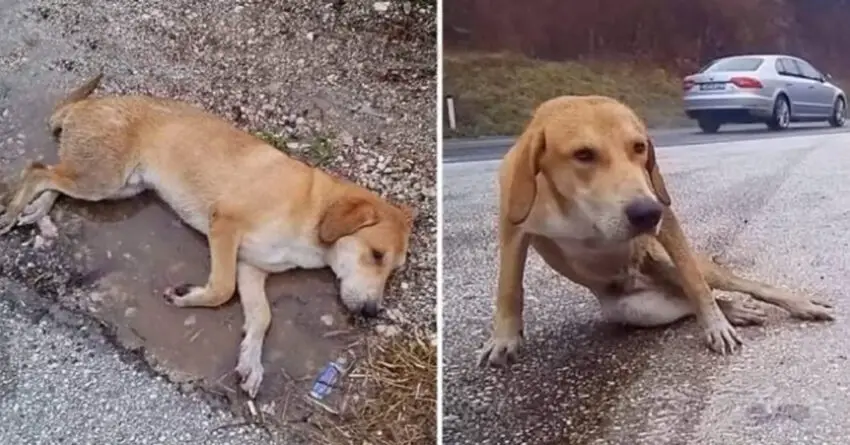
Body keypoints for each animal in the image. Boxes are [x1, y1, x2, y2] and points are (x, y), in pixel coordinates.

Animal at [0, 74, 414, 398]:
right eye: (376, 255)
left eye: (393, 270)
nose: (372, 313)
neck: (313, 211)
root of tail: (85, 105)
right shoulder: (225, 226)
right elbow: (222, 289)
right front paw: (188, 297)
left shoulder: (252, 269)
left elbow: (262, 317)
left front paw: (251, 361)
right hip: (105, 178)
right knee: (38, 170)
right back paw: (15, 210)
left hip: (113, 185)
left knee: (55, 179)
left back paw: (37, 210)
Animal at [480, 95, 832, 366]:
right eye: (583, 155)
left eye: (639, 147)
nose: (647, 214)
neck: (577, 208)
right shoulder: (513, 229)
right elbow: (508, 286)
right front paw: (505, 339)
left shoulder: (667, 221)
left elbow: (697, 285)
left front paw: (715, 325)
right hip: (636, 309)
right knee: (686, 301)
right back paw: (735, 310)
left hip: (668, 260)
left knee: (729, 285)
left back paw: (794, 305)